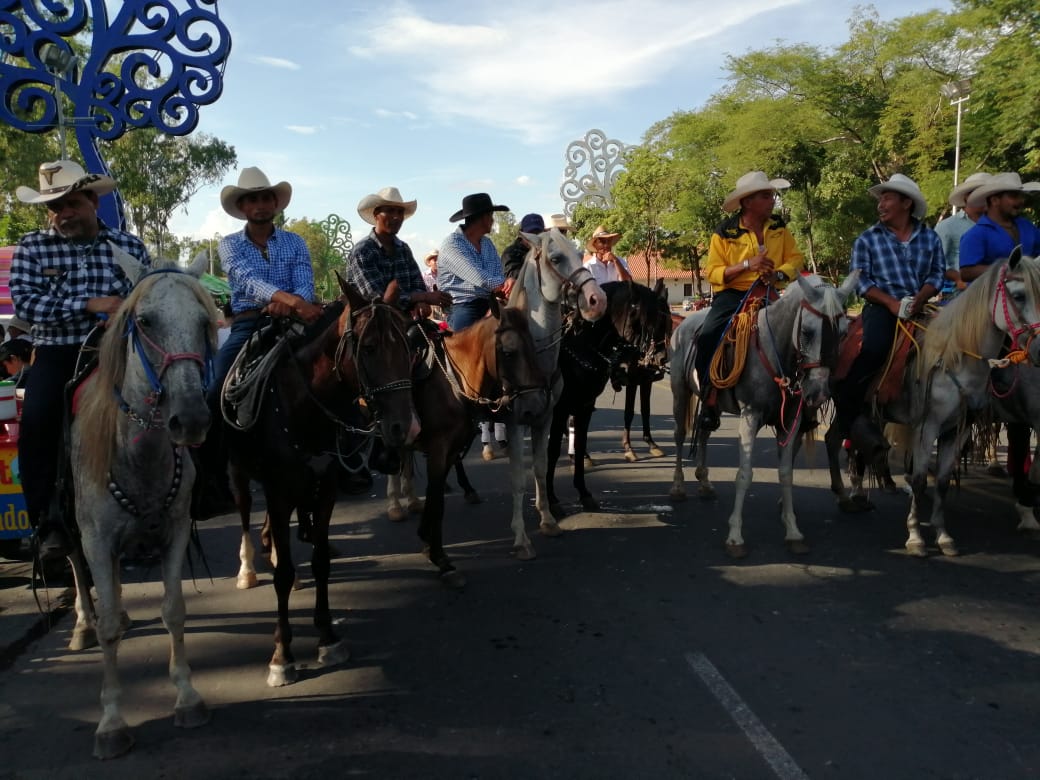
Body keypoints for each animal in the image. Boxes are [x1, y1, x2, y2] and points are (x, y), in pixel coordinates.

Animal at [67, 254, 217, 757]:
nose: (189, 419)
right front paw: (111, 722)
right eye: (146, 321)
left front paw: (187, 698)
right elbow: (109, 626)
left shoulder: (175, 530)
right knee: (78, 572)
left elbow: (174, 611)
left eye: (205, 322)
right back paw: (82, 625)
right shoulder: (96, 539)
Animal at [225, 280, 420, 682]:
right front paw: (281, 656)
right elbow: (283, 574)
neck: (302, 405)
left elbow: (319, 562)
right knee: (245, 514)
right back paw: (248, 569)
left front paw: (328, 638)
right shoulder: (278, 491)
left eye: (409, 346)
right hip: (240, 473)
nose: (404, 428)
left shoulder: (325, 487)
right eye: (369, 347)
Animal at [669, 272, 856, 557]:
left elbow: (786, 473)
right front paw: (735, 536)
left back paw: (704, 482)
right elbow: (744, 475)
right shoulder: (750, 417)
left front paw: (793, 531)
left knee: (703, 433)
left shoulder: (789, 422)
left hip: (710, 404)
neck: (776, 350)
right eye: (806, 332)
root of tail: (683, 324)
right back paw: (678, 486)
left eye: (844, 333)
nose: (818, 392)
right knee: (680, 435)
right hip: (680, 391)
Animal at [827, 250, 1040, 557]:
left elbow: (941, 480)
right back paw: (846, 494)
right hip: (848, 403)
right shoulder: (927, 426)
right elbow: (917, 479)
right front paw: (915, 536)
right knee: (835, 440)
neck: (956, 358)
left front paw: (943, 535)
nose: (1039, 348)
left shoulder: (958, 429)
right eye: (1020, 296)